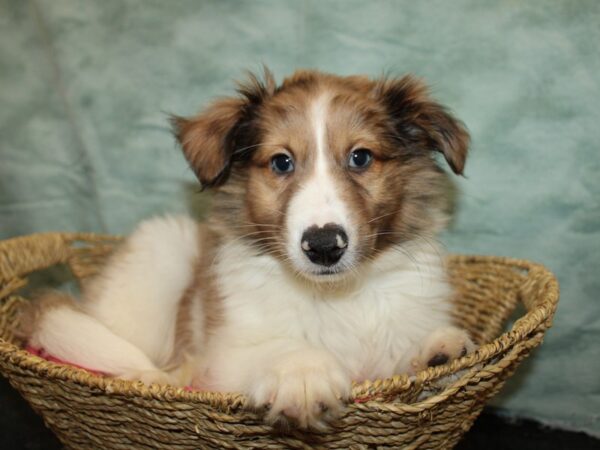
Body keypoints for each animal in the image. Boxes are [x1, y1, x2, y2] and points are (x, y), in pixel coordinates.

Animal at [23, 68, 474, 430]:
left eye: (360, 157)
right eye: (281, 162)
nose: (324, 246)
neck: (335, 295)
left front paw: (434, 352)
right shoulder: (224, 358)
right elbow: (279, 346)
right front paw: (302, 374)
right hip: (160, 253)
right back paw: (154, 377)